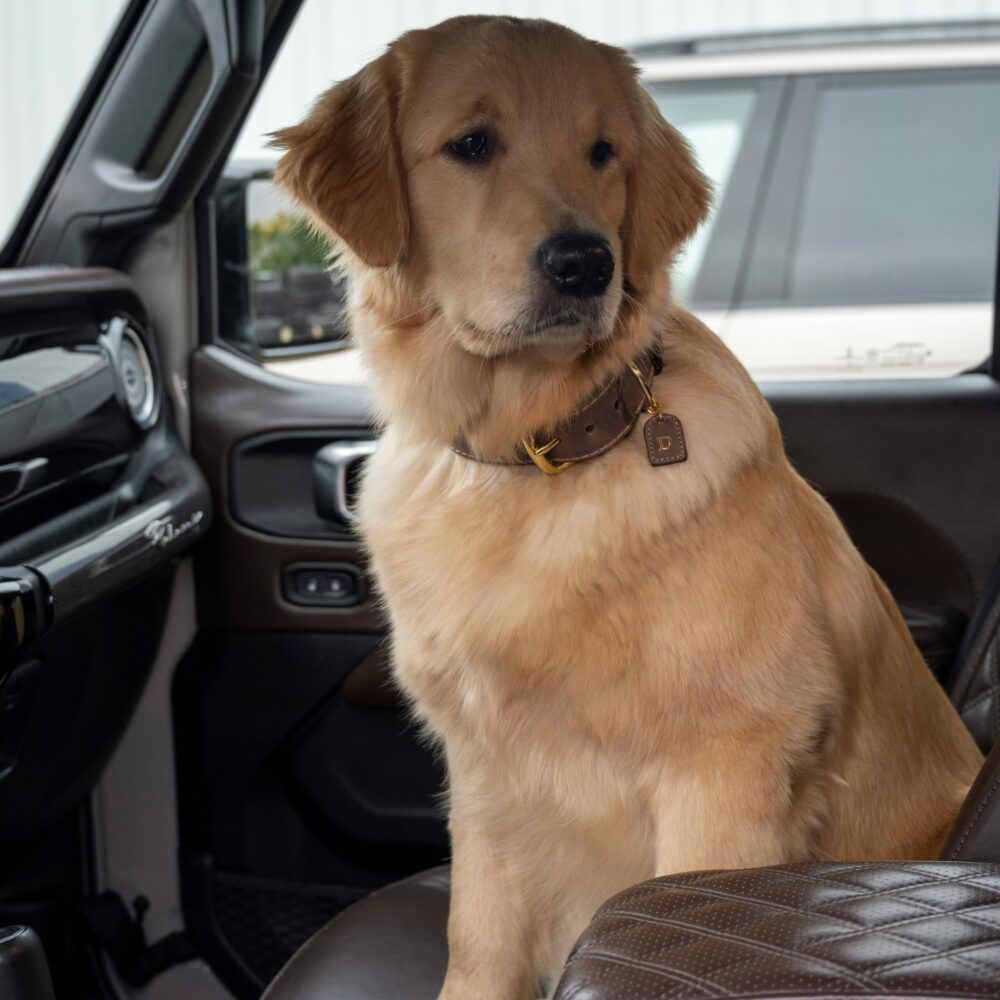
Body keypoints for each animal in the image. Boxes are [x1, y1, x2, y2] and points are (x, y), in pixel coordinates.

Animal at [274, 15, 984, 1000]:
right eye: (471, 144)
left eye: (604, 152)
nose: (584, 263)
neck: (537, 451)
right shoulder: (485, 776)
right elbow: (477, 941)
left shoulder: (728, 765)